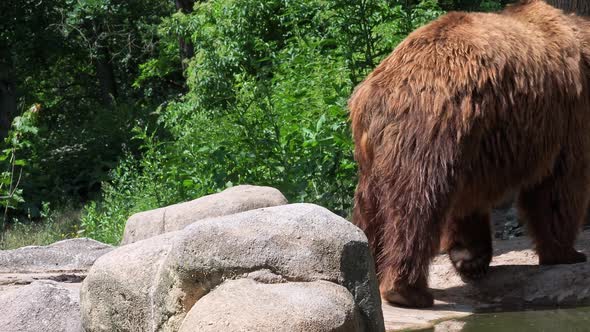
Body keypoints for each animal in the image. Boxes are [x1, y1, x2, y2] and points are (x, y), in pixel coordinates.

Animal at [352, 0, 590, 308]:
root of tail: (381, 91)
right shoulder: (568, 116)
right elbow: (558, 186)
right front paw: (567, 253)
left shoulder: (482, 149)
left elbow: (468, 204)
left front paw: (470, 258)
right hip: (432, 129)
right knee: (418, 203)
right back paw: (407, 290)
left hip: (374, 150)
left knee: (371, 207)